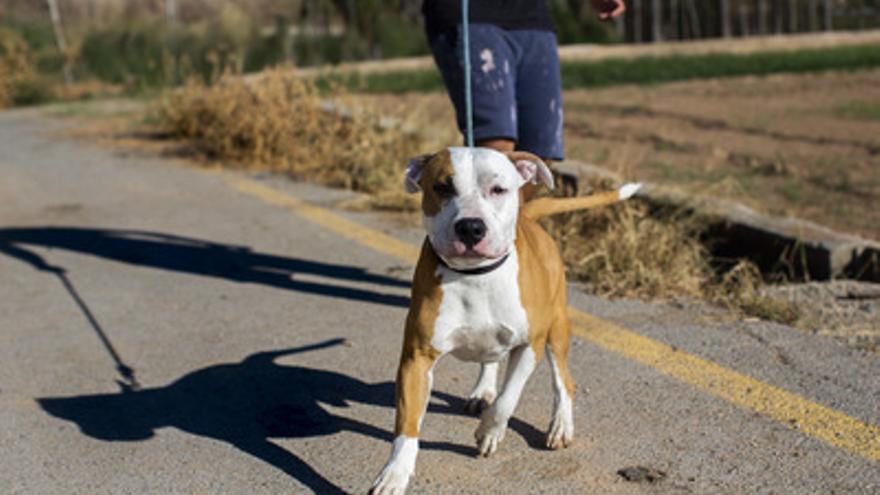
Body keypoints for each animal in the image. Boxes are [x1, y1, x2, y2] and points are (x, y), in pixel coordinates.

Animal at [368, 148, 636, 495]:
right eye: (442, 188)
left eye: (498, 190)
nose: (470, 227)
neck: (476, 275)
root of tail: (529, 217)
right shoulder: (417, 359)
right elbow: (407, 424)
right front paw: (394, 473)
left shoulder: (530, 345)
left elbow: (508, 399)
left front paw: (489, 432)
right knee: (491, 360)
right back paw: (483, 391)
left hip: (557, 328)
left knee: (564, 380)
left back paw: (560, 425)